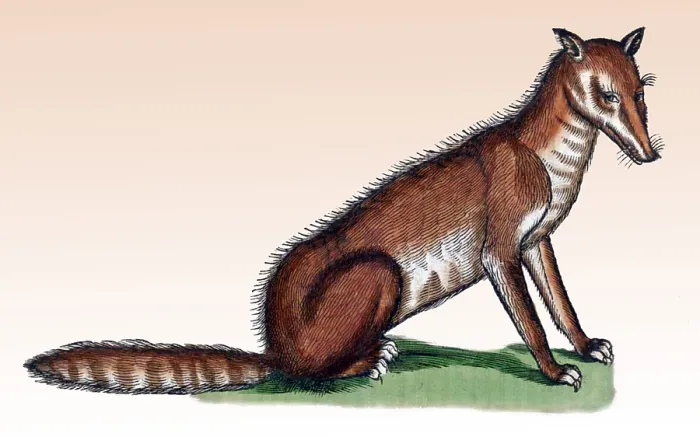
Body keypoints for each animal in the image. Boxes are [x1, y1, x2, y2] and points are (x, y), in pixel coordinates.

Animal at [25, 27, 663, 395]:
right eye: (605, 94)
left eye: (640, 92)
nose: (651, 154)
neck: (549, 160)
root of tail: (273, 347)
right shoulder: (500, 248)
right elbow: (530, 319)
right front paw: (555, 372)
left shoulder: (538, 241)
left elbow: (561, 303)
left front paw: (586, 345)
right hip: (380, 272)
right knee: (310, 375)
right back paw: (370, 359)